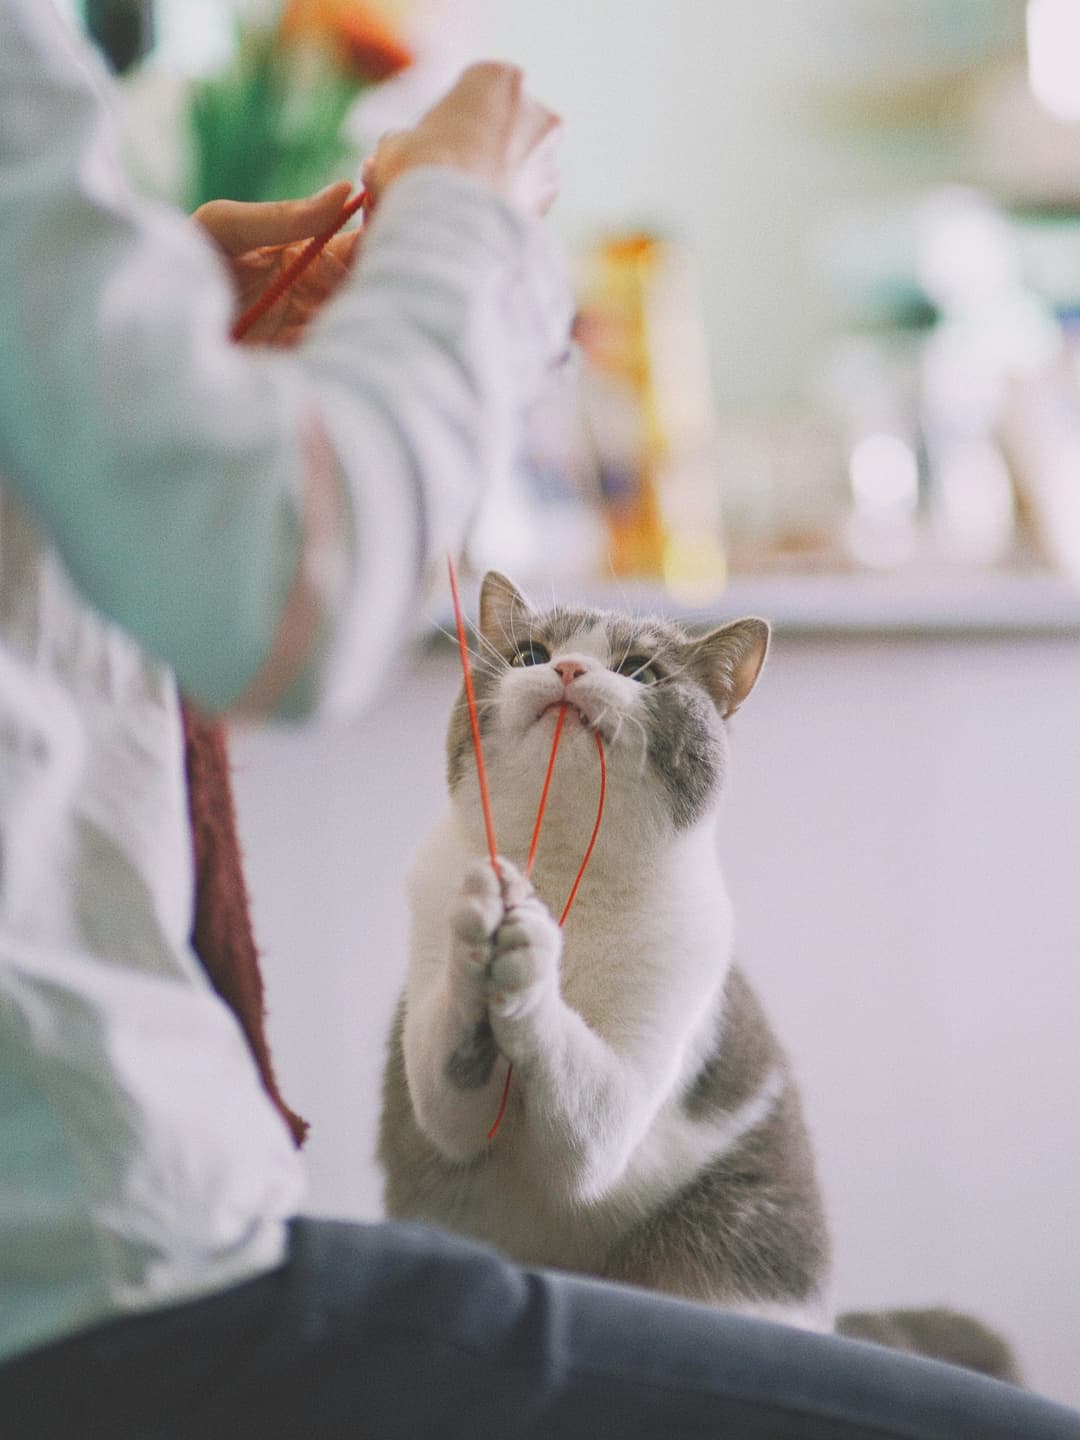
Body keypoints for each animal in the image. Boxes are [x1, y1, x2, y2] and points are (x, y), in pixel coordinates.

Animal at [380, 567, 835, 1330]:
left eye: (639, 671)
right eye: (530, 654)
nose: (567, 670)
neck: (566, 879)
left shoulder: (630, 1080)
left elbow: (583, 1112)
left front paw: (530, 962)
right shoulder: (438, 1080)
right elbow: (450, 1089)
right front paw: (482, 928)